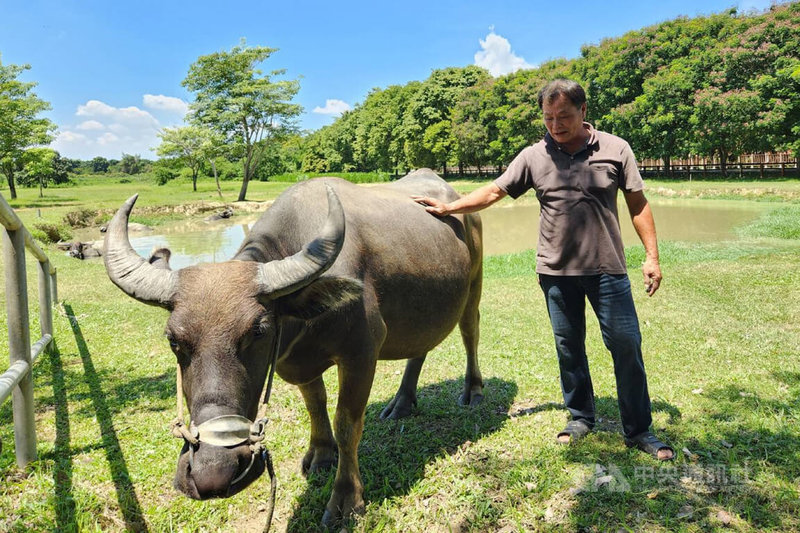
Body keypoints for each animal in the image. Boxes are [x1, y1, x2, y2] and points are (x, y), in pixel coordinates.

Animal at [103, 169, 484, 524]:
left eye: (258, 331)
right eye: (173, 340)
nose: (213, 471)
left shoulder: (361, 353)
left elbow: (347, 425)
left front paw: (346, 500)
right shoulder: (295, 364)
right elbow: (316, 405)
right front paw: (321, 454)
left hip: (474, 287)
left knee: (470, 332)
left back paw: (473, 391)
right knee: (420, 346)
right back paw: (402, 402)